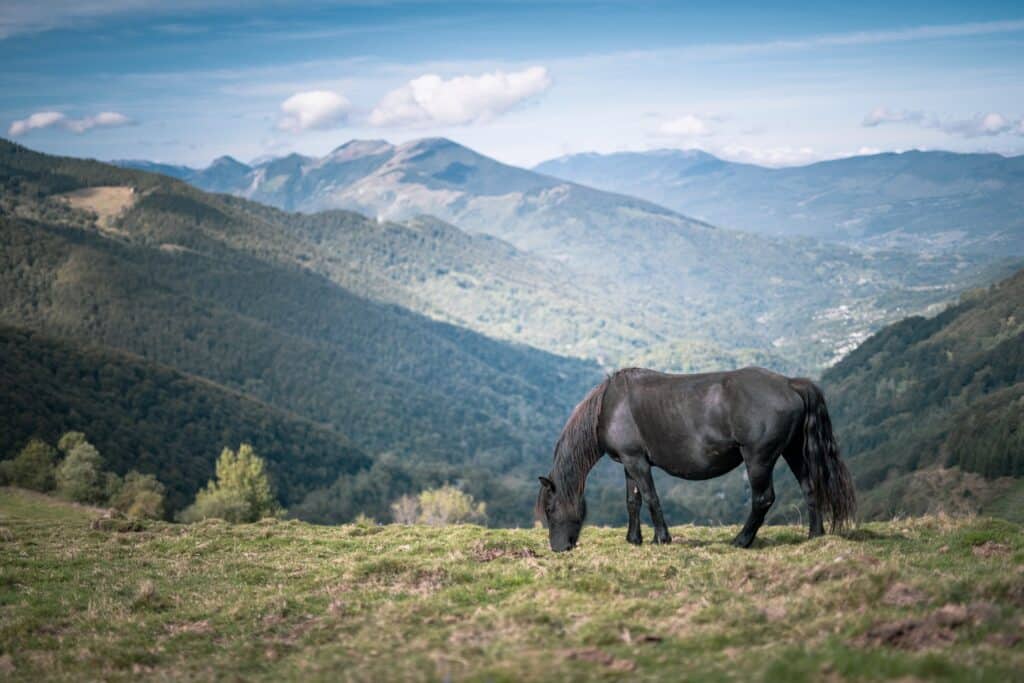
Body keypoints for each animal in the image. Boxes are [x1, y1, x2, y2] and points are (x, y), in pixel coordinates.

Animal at [536, 366, 856, 552]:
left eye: (550, 509)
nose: (558, 548)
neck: (609, 407)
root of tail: (790, 384)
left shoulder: (637, 462)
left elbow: (651, 498)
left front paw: (661, 539)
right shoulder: (629, 463)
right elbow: (632, 501)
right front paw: (634, 539)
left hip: (758, 459)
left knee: (763, 499)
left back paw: (741, 541)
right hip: (794, 451)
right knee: (810, 487)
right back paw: (815, 535)